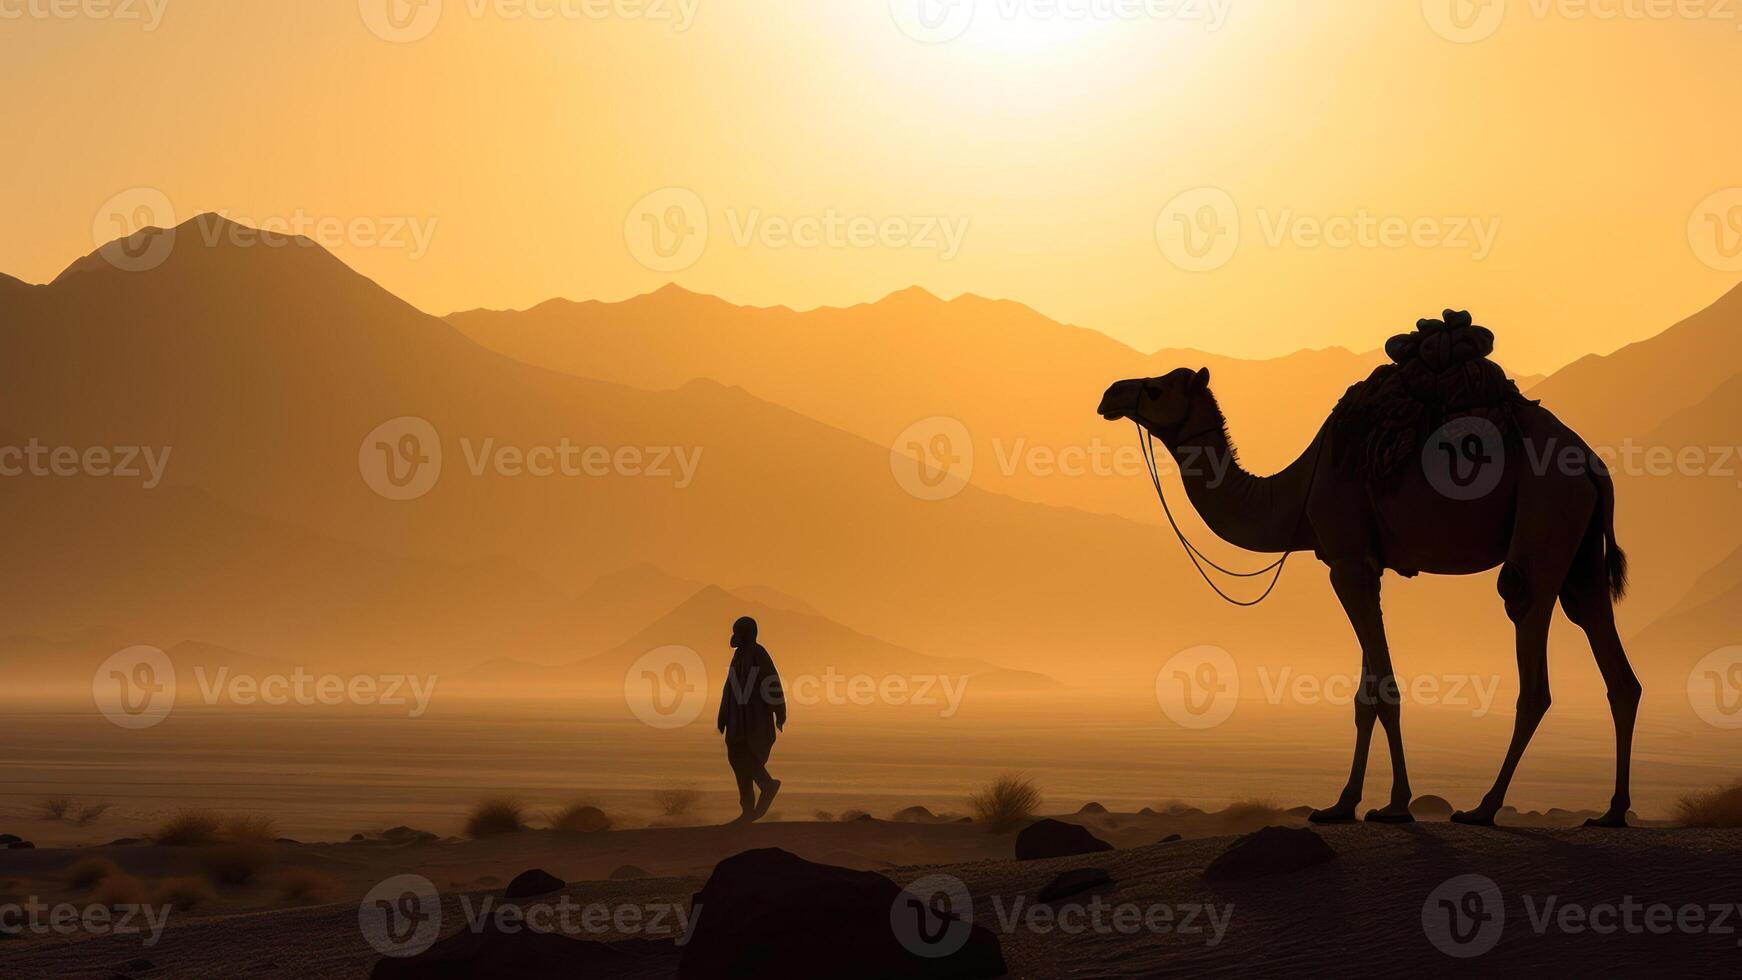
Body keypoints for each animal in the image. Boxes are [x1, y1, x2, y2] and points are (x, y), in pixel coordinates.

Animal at [1093, 369, 1637, 828]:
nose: (1110, 393)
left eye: (1156, 388)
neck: (1298, 492)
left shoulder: (1347, 561)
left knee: (1530, 645)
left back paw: (1484, 809)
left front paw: (1395, 805)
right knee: (1611, 658)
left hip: (1545, 518)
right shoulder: (1362, 565)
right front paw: (1341, 804)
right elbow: (1363, 695)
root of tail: (1593, 465)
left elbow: (1385, 690)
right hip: (1580, 553)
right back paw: (1611, 812)